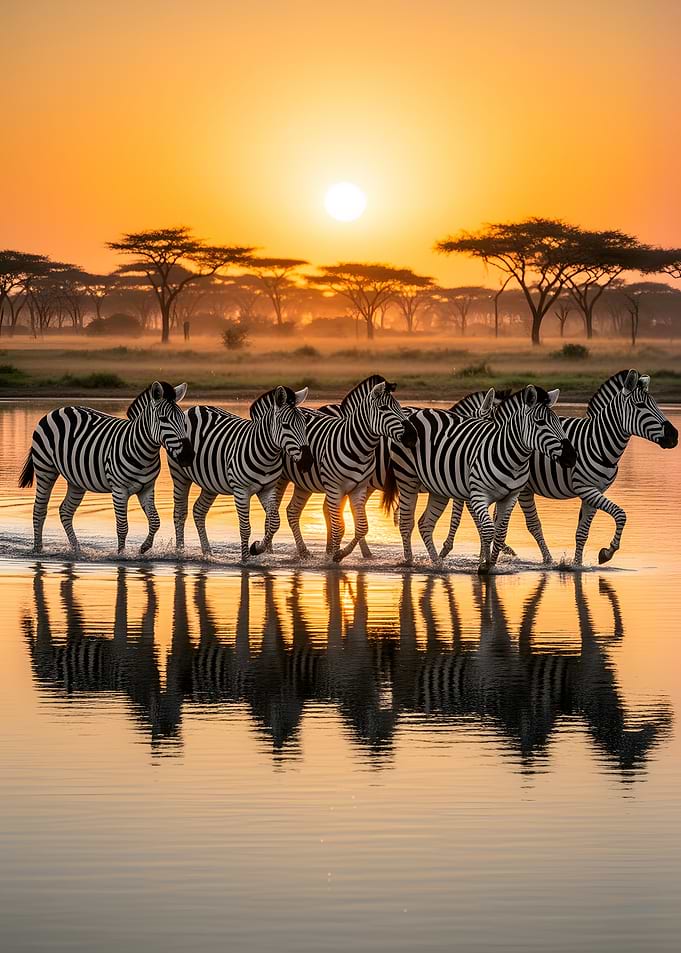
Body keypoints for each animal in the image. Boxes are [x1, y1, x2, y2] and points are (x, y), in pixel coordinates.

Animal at [19, 381, 194, 554]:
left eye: (183, 420)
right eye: (163, 418)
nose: (188, 456)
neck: (143, 451)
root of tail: (57, 410)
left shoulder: (147, 488)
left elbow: (155, 521)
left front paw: (143, 548)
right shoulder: (119, 490)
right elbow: (123, 527)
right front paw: (121, 555)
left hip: (76, 480)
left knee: (65, 511)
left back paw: (77, 549)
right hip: (45, 469)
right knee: (39, 509)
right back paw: (38, 549)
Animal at [170, 385, 313, 561]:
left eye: (304, 425)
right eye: (286, 425)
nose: (308, 461)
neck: (267, 454)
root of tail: (193, 408)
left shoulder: (268, 488)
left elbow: (274, 522)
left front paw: (257, 548)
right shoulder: (241, 490)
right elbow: (245, 527)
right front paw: (245, 559)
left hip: (210, 482)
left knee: (199, 510)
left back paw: (207, 552)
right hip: (179, 474)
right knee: (179, 512)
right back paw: (179, 552)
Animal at [270, 375, 417, 562]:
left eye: (399, 407)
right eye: (384, 408)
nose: (413, 435)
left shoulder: (359, 487)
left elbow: (361, 526)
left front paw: (339, 552)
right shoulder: (335, 488)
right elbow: (339, 525)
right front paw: (334, 557)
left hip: (304, 482)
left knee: (292, 511)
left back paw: (304, 552)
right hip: (281, 478)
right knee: (274, 510)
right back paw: (267, 549)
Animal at [383, 386, 576, 571]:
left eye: (558, 422)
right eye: (540, 422)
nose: (571, 457)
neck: (511, 457)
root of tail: (418, 413)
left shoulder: (510, 497)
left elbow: (499, 532)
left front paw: (491, 562)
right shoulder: (476, 495)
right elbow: (486, 528)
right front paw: (484, 564)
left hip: (438, 488)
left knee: (426, 523)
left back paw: (437, 564)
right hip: (407, 478)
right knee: (406, 522)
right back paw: (409, 563)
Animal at [439, 368, 679, 565]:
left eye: (655, 404)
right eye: (641, 406)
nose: (674, 436)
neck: (598, 441)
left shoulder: (595, 491)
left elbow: (582, 532)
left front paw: (578, 565)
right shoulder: (585, 487)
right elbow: (621, 514)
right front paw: (607, 552)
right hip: (519, 488)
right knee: (524, 522)